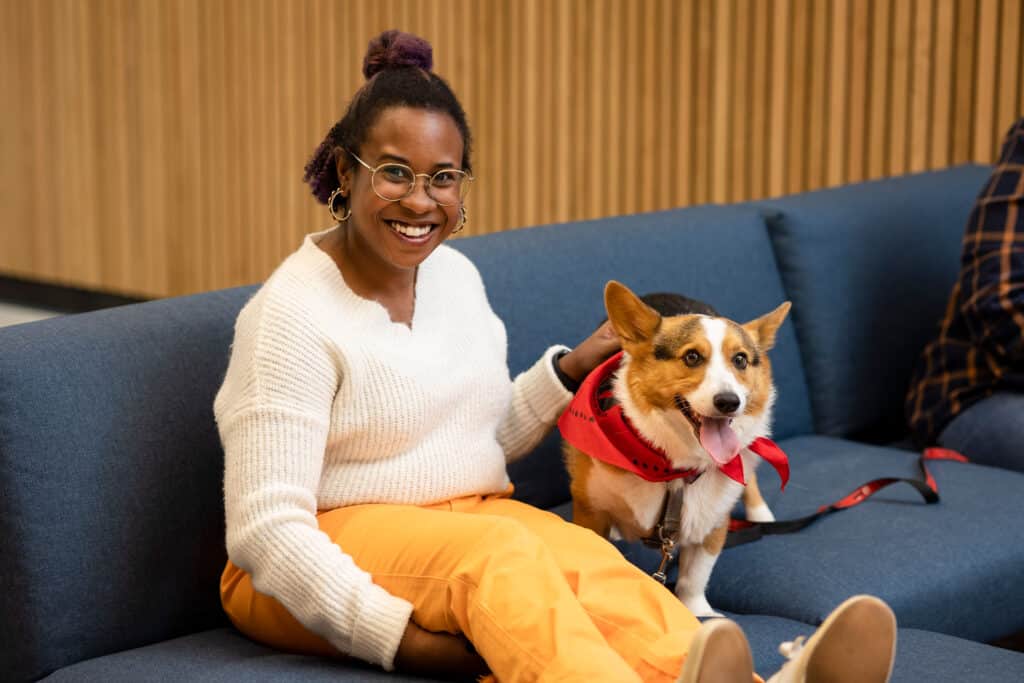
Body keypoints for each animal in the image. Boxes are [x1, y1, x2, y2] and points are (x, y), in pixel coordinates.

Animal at [561, 280, 790, 618]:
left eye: (740, 360)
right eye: (692, 357)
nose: (729, 402)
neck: (673, 469)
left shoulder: (711, 524)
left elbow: (694, 578)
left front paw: (700, 612)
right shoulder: (590, 510)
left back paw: (760, 513)